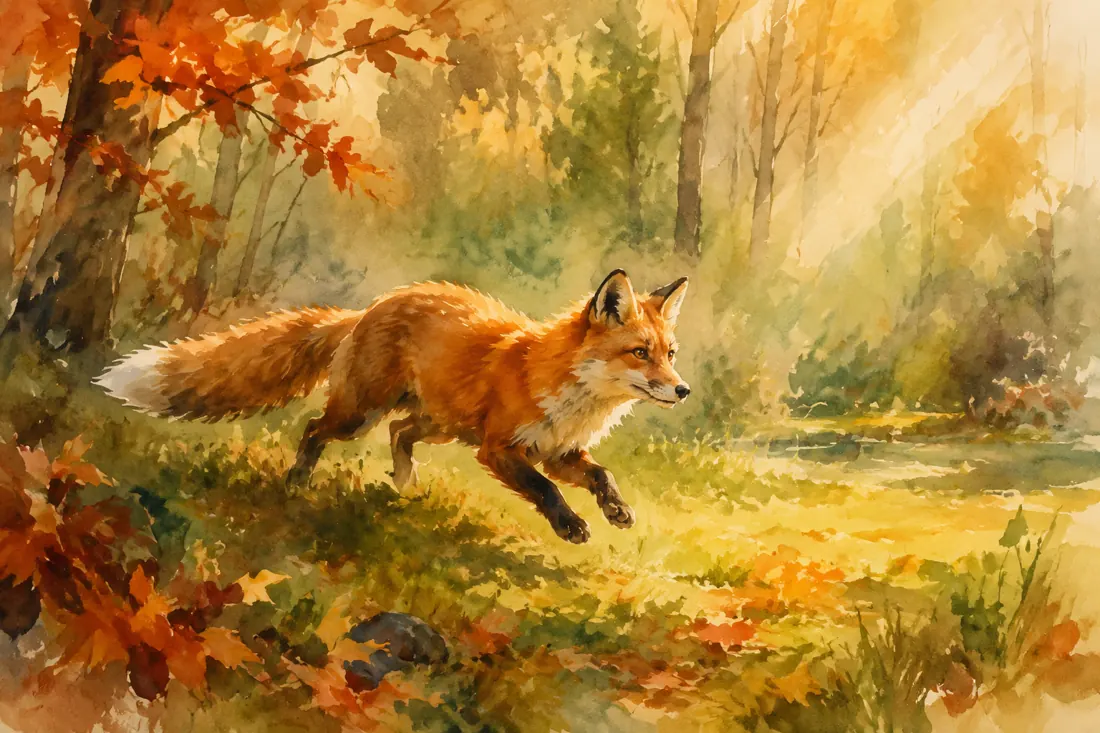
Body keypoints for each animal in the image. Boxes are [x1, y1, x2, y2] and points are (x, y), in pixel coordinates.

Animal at [95, 269, 690, 543]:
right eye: (640, 353)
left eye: (670, 354)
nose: (683, 390)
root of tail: (371, 307)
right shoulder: (500, 449)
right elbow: (544, 490)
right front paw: (570, 526)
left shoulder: (559, 451)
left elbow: (602, 476)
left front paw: (616, 511)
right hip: (361, 414)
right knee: (315, 429)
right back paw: (297, 483)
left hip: (438, 422)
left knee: (400, 432)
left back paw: (404, 485)